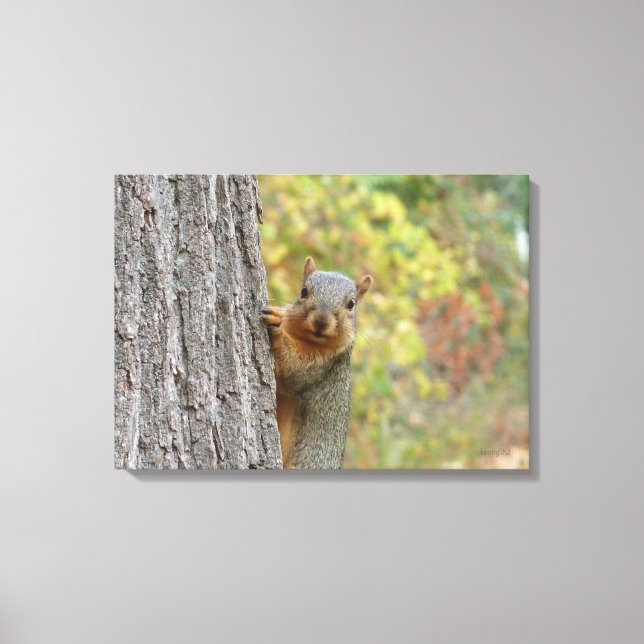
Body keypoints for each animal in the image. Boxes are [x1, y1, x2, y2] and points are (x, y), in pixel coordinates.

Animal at [261, 257, 372, 469]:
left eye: (351, 303)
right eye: (304, 291)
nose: (321, 320)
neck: (305, 339)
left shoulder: (322, 367)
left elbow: (293, 370)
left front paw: (277, 325)